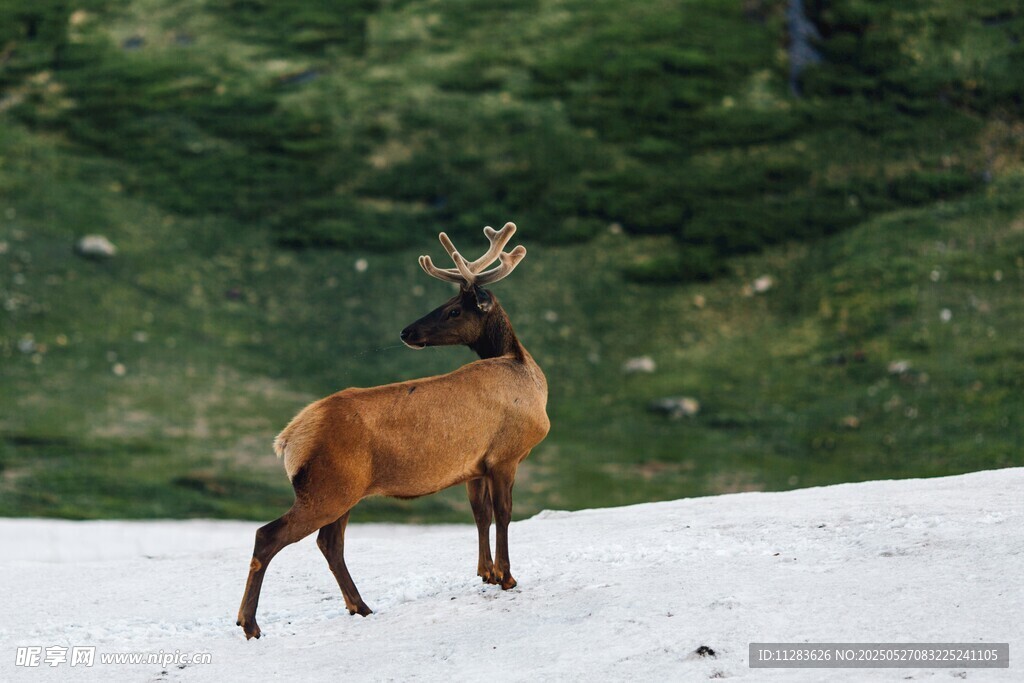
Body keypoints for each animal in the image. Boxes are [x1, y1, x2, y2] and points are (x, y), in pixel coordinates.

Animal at [236, 222, 549, 639]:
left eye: (453, 308)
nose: (406, 332)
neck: (527, 373)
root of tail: (287, 439)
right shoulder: (505, 455)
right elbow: (504, 513)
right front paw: (507, 576)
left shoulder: (475, 466)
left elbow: (480, 514)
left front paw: (486, 572)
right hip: (327, 489)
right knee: (268, 536)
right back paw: (250, 623)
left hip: (340, 491)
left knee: (329, 544)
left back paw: (360, 606)